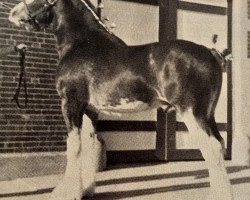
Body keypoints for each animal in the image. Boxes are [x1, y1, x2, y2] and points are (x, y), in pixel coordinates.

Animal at [8, 0, 232, 200]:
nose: (12, 13)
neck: (81, 44)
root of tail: (211, 54)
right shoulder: (90, 110)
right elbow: (88, 146)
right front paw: (86, 190)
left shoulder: (71, 104)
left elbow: (74, 147)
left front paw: (67, 193)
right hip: (207, 114)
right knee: (220, 144)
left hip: (192, 113)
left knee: (211, 148)